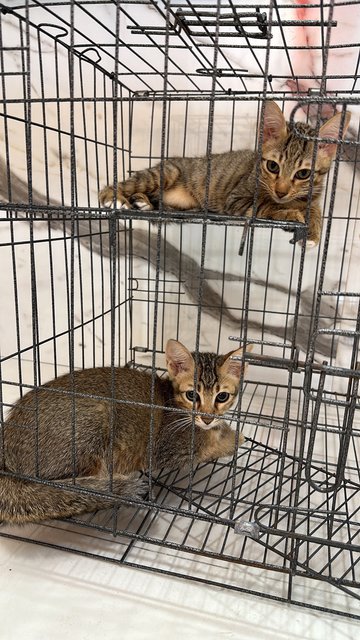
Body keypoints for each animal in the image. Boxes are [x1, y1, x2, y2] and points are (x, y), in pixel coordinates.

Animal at [0, 338, 250, 524]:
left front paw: (224, 429)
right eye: (192, 395)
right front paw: (231, 438)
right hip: (97, 416)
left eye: (222, 397)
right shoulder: (164, 450)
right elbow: (209, 447)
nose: (207, 418)